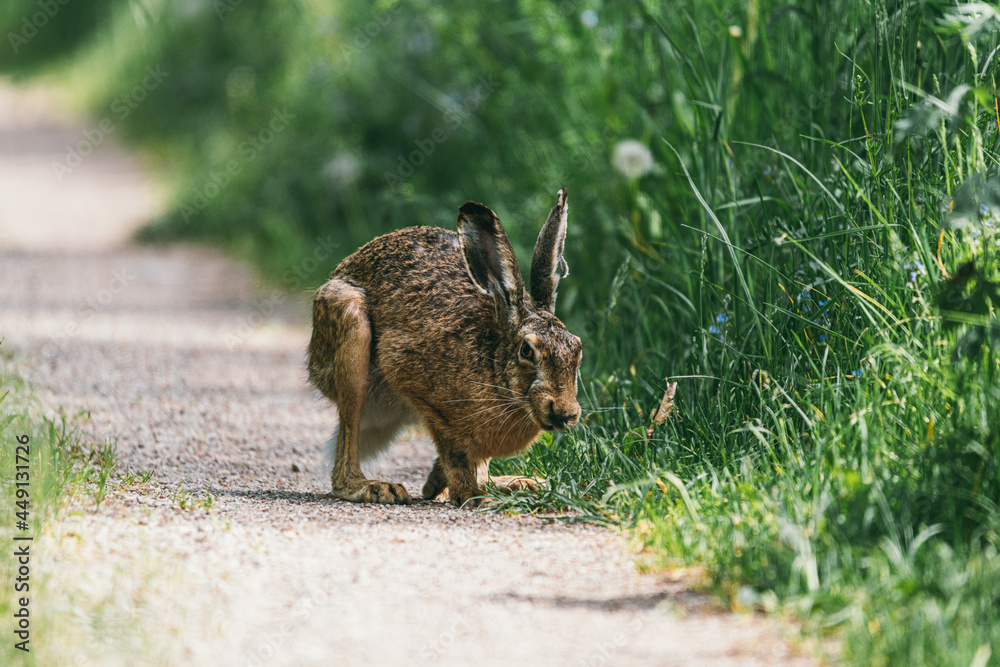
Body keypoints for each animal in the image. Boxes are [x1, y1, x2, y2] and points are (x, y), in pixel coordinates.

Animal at [307, 188, 582, 507]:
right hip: (350, 329)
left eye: (578, 350)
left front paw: (447, 486)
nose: (565, 412)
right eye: (527, 350)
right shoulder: (419, 386)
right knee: (347, 438)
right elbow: (454, 449)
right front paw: (470, 496)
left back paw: (515, 483)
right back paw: (372, 487)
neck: (496, 370)